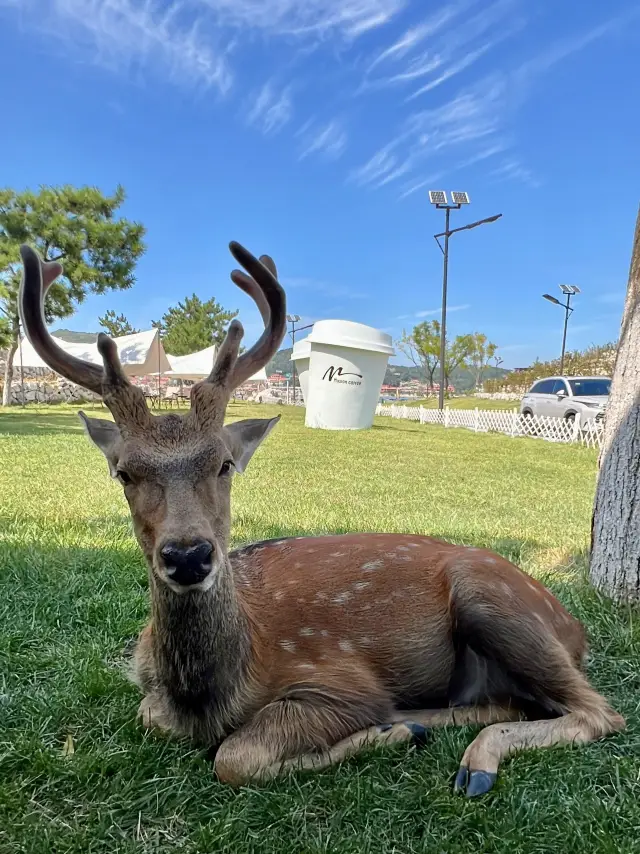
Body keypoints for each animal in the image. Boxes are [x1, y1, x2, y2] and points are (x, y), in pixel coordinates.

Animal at [20, 242, 624, 804]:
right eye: (124, 472)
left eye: (224, 463)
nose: (188, 555)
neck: (212, 690)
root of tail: (577, 629)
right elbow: (151, 717)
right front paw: (396, 729)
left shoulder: (337, 678)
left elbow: (236, 755)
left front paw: (382, 731)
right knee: (515, 703)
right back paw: (423, 724)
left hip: (493, 599)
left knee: (601, 712)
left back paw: (465, 760)